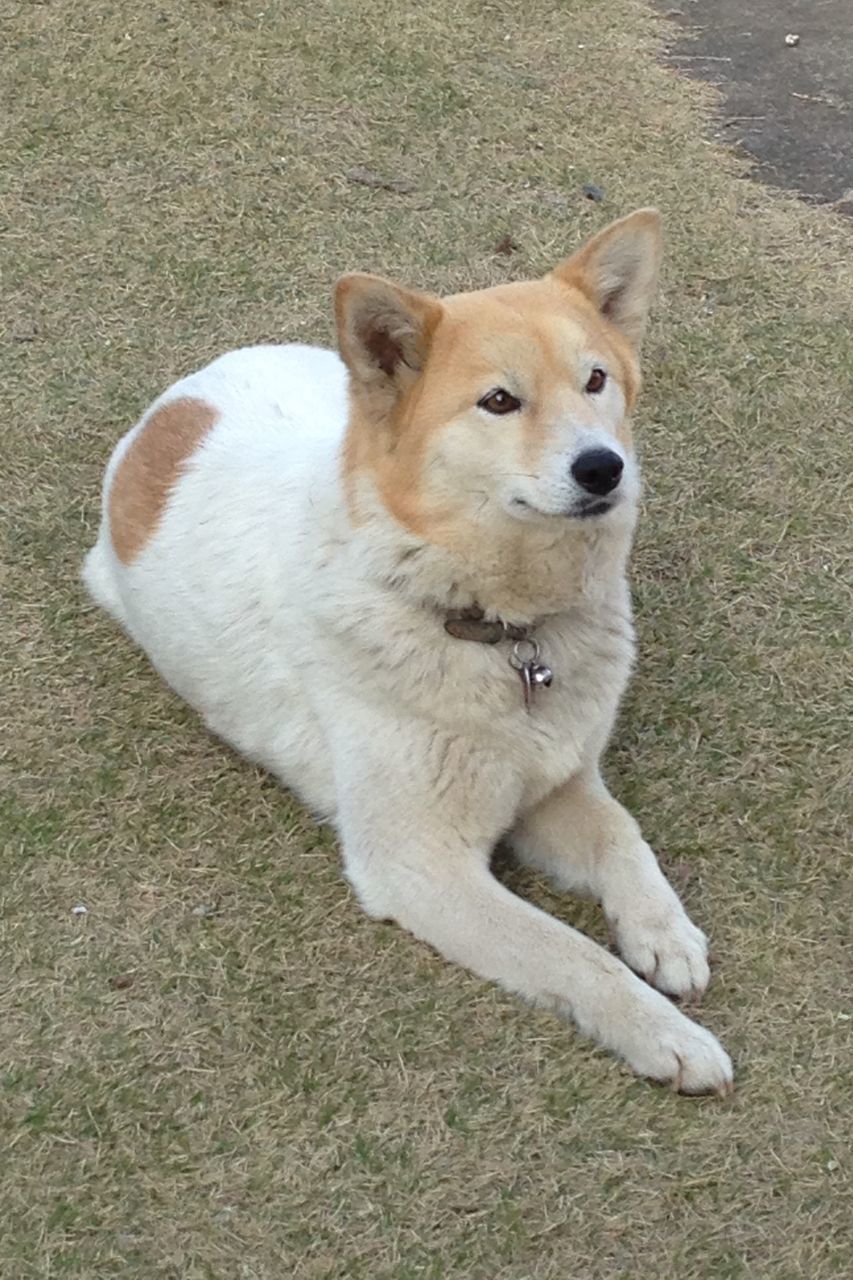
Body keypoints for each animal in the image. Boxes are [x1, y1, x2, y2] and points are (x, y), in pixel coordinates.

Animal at [86, 209, 732, 1090]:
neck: (500, 629)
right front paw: (662, 1033)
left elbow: (620, 837)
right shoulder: (420, 864)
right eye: (499, 401)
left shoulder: (557, 781)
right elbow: (568, 953)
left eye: (596, 381)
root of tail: (184, 396)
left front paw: (662, 932)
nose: (604, 468)